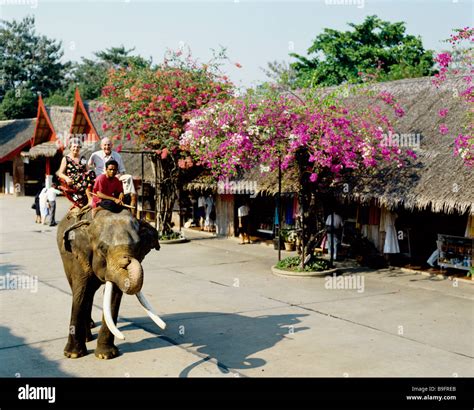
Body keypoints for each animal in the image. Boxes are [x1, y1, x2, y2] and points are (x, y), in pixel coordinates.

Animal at [57, 208, 166, 358]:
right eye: (102, 248)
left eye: (138, 247)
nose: (127, 259)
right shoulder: (79, 258)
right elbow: (80, 293)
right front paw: (72, 355)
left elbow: (113, 296)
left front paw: (106, 355)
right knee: (83, 292)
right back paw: (87, 337)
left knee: (91, 294)